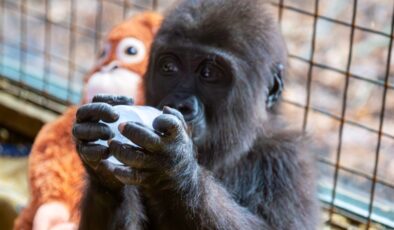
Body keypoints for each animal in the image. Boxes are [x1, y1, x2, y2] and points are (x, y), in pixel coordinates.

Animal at [74, 0, 318, 230]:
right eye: (169, 68)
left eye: (208, 74)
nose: (180, 104)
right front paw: (101, 175)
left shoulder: (288, 159)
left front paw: (174, 169)